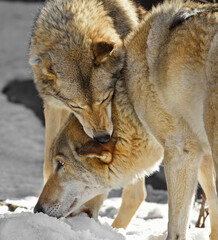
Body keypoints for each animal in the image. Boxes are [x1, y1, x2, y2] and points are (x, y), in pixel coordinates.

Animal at [34, 0, 218, 239]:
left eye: (61, 164)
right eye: (55, 164)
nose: (37, 209)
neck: (131, 97)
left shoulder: (181, 152)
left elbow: (176, 226)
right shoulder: (200, 153)